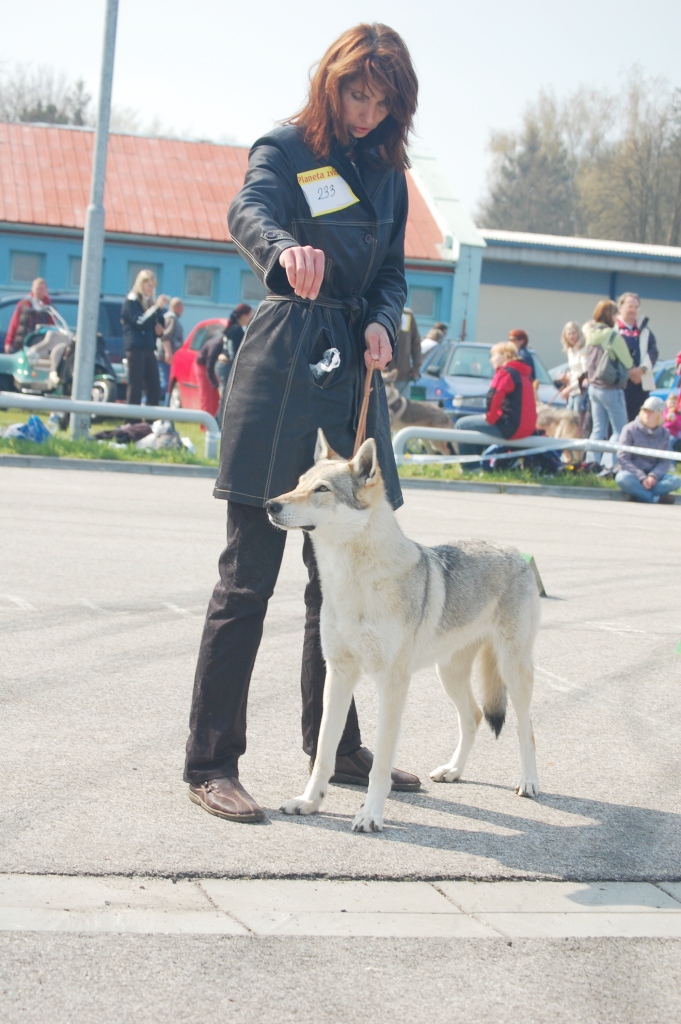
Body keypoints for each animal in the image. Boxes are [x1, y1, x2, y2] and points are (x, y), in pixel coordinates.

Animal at [268, 432, 540, 831]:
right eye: (299, 483)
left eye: (321, 489)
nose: (269, 504)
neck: (353, 581)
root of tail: (513, 550)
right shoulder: (339, 676)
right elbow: (323, 753)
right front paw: (309, 802)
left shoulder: (392, 685)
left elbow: (380, 765)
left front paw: (370, 815)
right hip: (449, 675)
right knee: (473, 717)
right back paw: (453, 771)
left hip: (513, 671)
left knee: (526, 727)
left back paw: (529, 782)